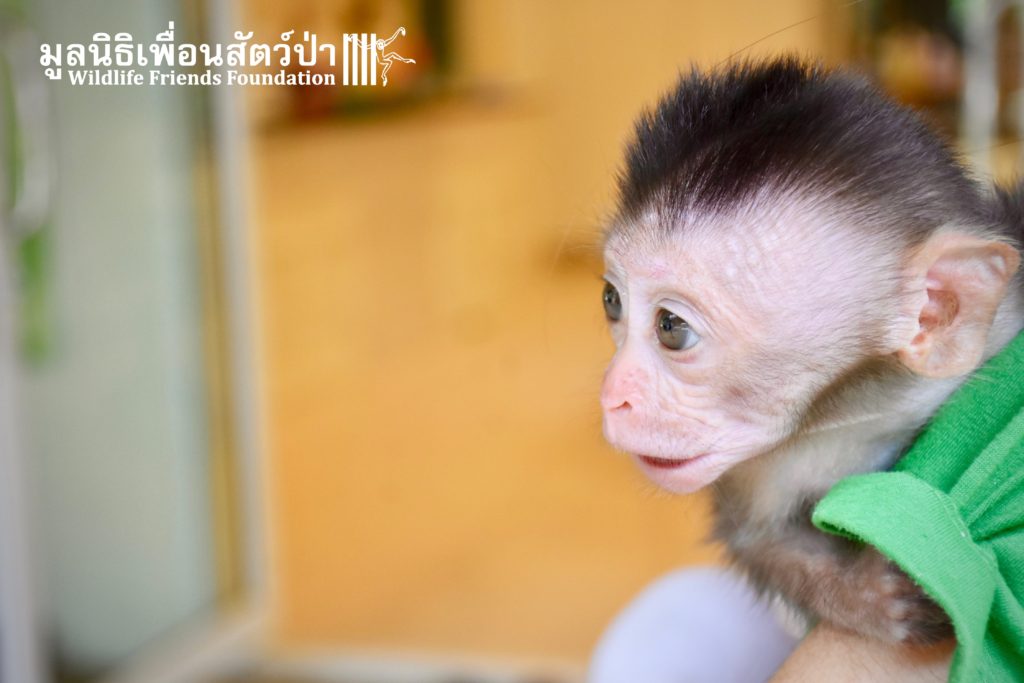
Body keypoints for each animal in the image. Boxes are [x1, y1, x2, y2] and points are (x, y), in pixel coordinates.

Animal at [598, 56, 1023, 646]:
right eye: (612, 301)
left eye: (672, 328)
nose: (612, 397)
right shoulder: (767, 471)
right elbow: (760, 539)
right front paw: (868, 595)